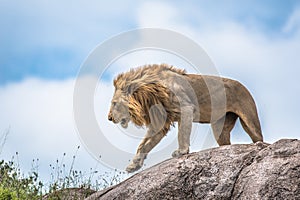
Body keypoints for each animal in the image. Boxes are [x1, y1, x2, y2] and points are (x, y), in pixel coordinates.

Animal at [108, 63, 262, 172]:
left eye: (114, 103)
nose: (109, 118)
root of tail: (244, 87)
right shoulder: (161, 121)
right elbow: (144, 145)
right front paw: (133, 166)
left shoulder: (186, 108)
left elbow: (182, 134)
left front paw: (181, 152)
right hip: (220, 128)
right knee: (226, 143)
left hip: (250, 119)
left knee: (258, 137)